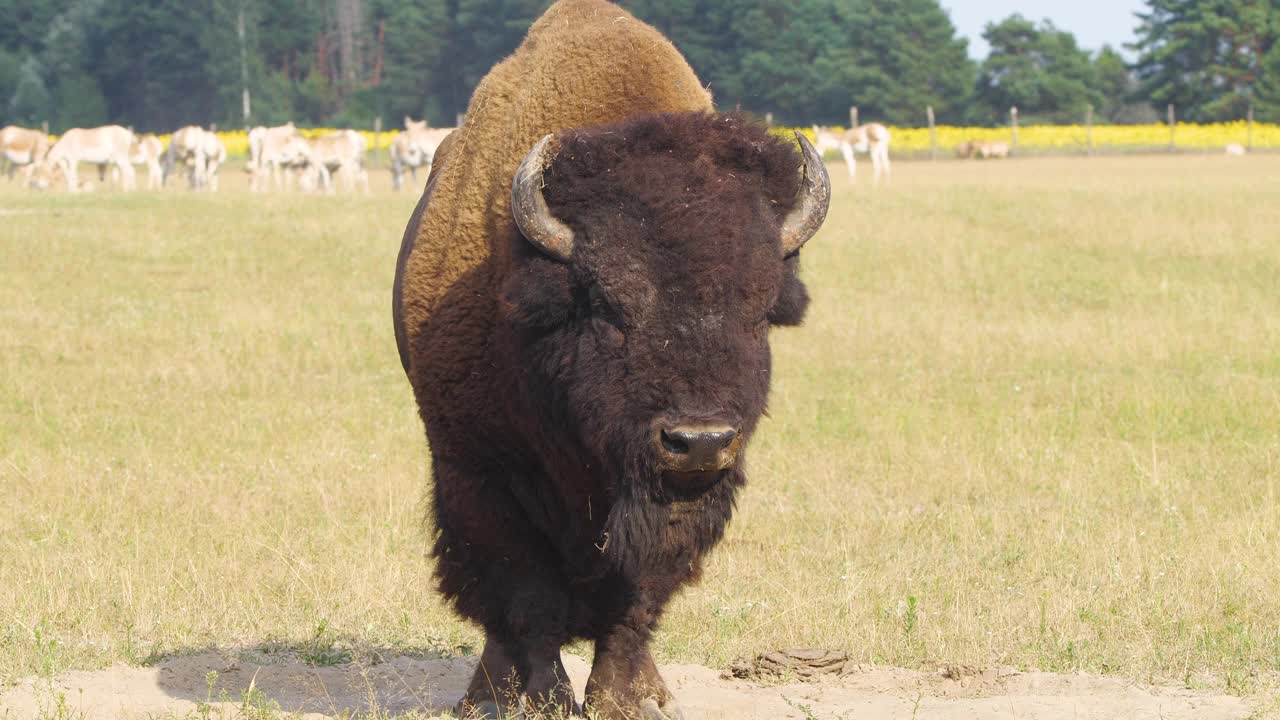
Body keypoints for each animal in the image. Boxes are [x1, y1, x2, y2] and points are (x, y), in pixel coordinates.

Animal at [391, 2, 829, 712]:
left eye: (759, 309)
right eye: (606, 306)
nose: (699, 440)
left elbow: (638, 595)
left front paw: (624, 697)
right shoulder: (478, 470)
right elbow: (525, 593)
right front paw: (545, 698)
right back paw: (487, 693)